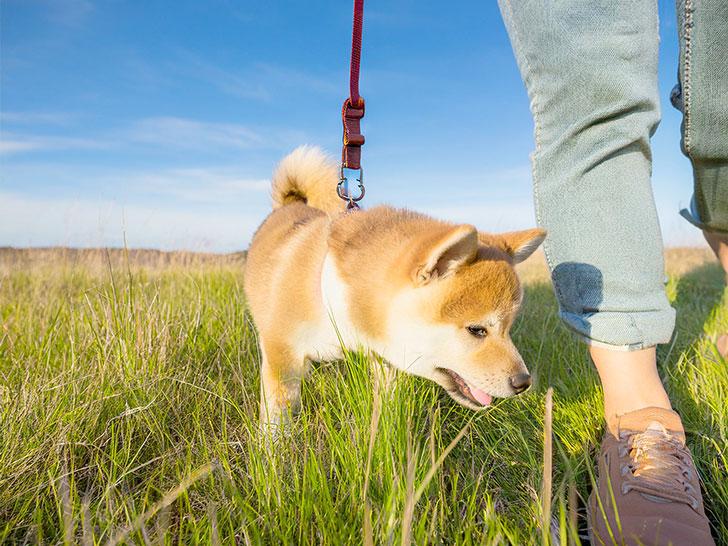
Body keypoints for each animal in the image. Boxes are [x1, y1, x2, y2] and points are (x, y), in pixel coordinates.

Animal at [245, 147, 544, 432]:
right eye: (477, 330)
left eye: (508, 328)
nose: (524, 382)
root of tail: (289, 205)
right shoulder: (282, 356)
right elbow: (277, 422)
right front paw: (274, 450)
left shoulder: (385, 363)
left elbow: (385, 413)